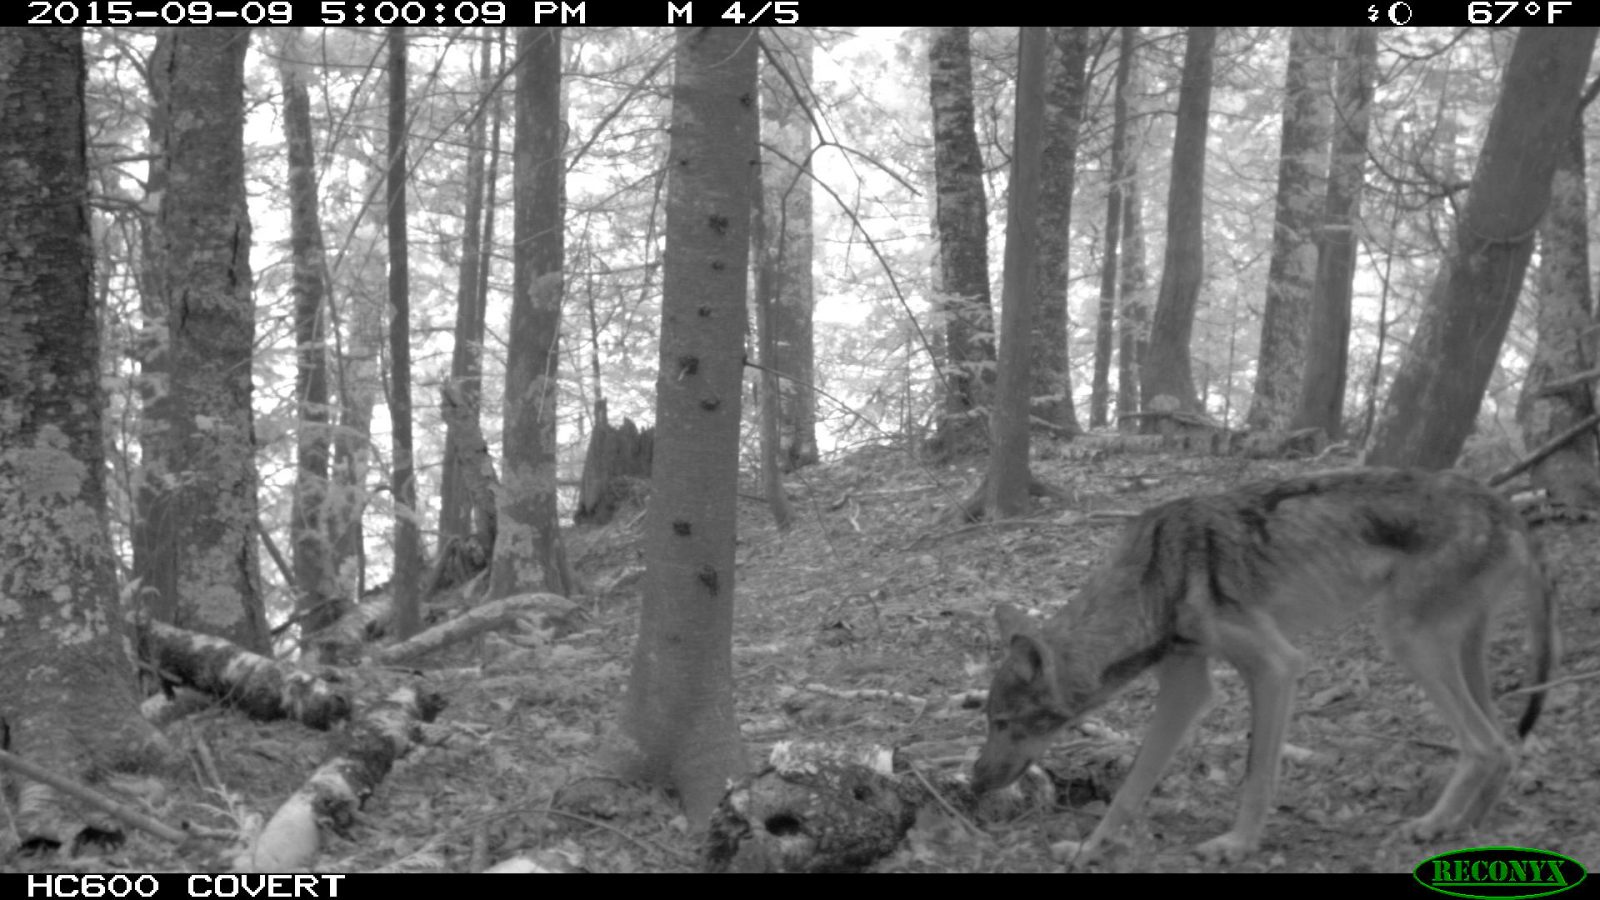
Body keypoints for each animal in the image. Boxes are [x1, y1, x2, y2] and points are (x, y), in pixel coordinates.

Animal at [966, 464, 1555, 858]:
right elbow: (1133, 785)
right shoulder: (1185, 689)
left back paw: (1433, 825)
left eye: (1004, 723)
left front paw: (1238, 845)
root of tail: (1508, 507)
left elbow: (1256, 773)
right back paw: (1464, 830)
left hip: (1407, 642)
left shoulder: (1276, 668)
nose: (973, 780)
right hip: (1460, 653)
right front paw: (1091, 849)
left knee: (1484, 745)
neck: (1154, 579)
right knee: (1506, 746)